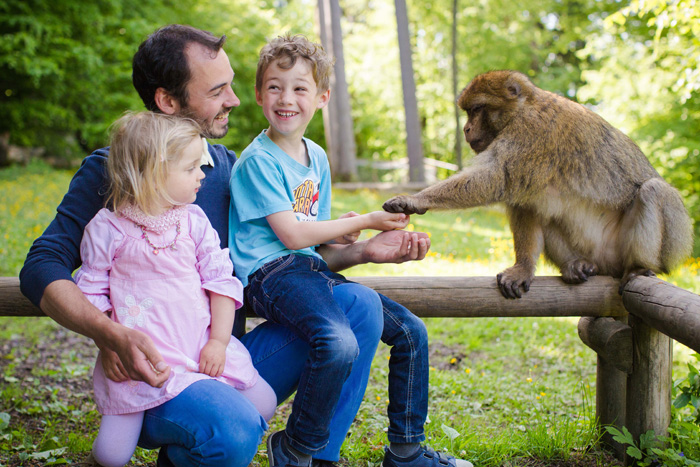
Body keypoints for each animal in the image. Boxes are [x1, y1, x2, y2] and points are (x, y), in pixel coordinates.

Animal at [386, 70, 692, 300]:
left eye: (477, 109)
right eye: (469, 112)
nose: (466, 129)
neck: (523, 108)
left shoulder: (531, 132)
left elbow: (497, 177)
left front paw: (416, 199)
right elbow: (525, 204)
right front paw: (523, 268)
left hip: (658, 250)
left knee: (654, 191)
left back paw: (640, 267)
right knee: (547, 210)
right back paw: (575, 265)